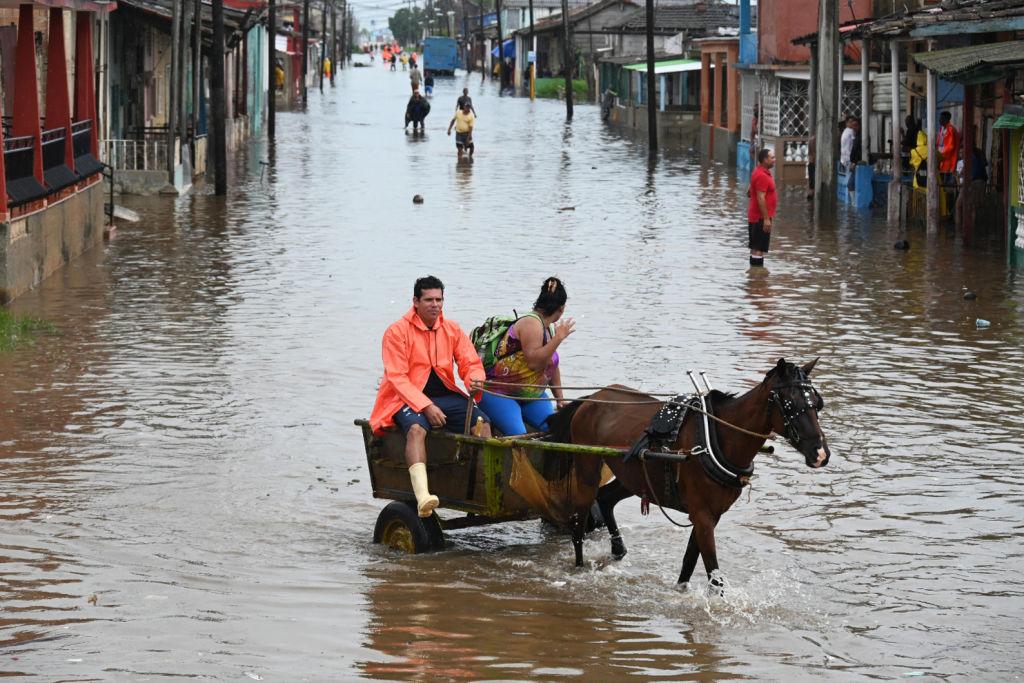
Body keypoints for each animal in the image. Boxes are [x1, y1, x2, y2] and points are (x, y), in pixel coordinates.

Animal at [548, 360, 827, 589]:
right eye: (790, 404)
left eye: (816, 404)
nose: (821, 453)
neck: (717, 436)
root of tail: (593, 398)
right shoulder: (702, 516)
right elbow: (714, 576)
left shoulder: (710, 515)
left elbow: (689, 563)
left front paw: (681, 590)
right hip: (587, 469)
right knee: (579, 521)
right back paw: (579, 567)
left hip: (634, 475)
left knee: (606, 498)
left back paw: (618, 549)